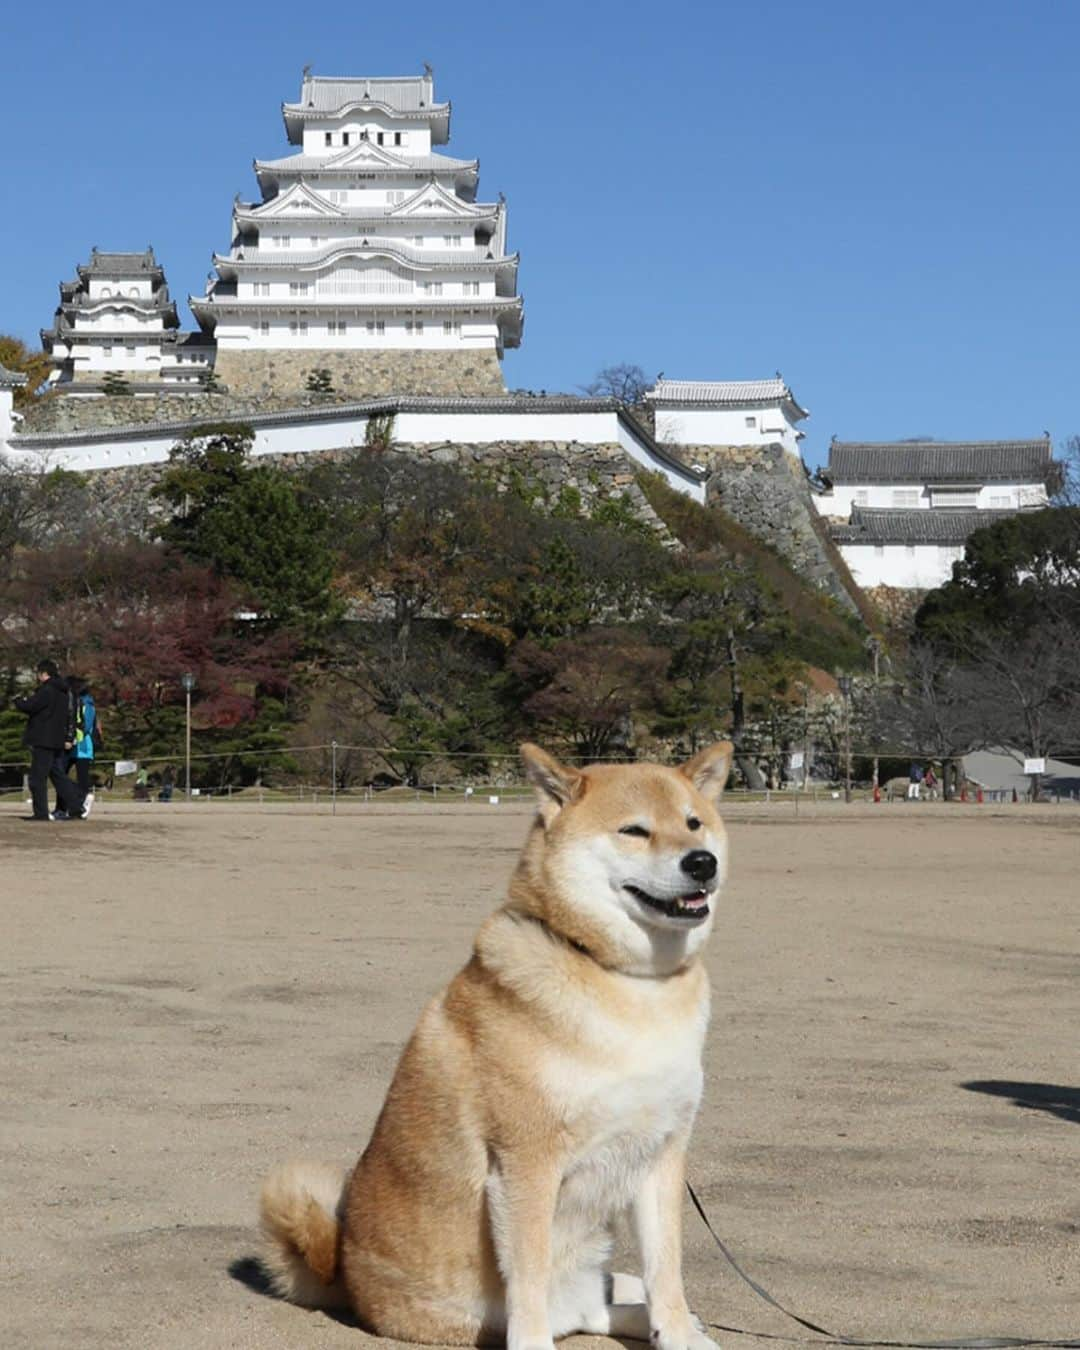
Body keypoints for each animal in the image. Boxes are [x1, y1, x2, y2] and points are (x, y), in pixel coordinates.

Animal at [261, 745, 734, 1344]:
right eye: (634, 830)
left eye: (694, 823)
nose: (701, 862)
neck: (631, 984)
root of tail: (344, 1278)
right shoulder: (526, 1162)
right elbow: (527, 1280)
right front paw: (535, 1343)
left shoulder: (662, 1153)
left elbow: (665, 1272)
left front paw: (675, 1334)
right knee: (562, 1308)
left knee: (597, 1304)